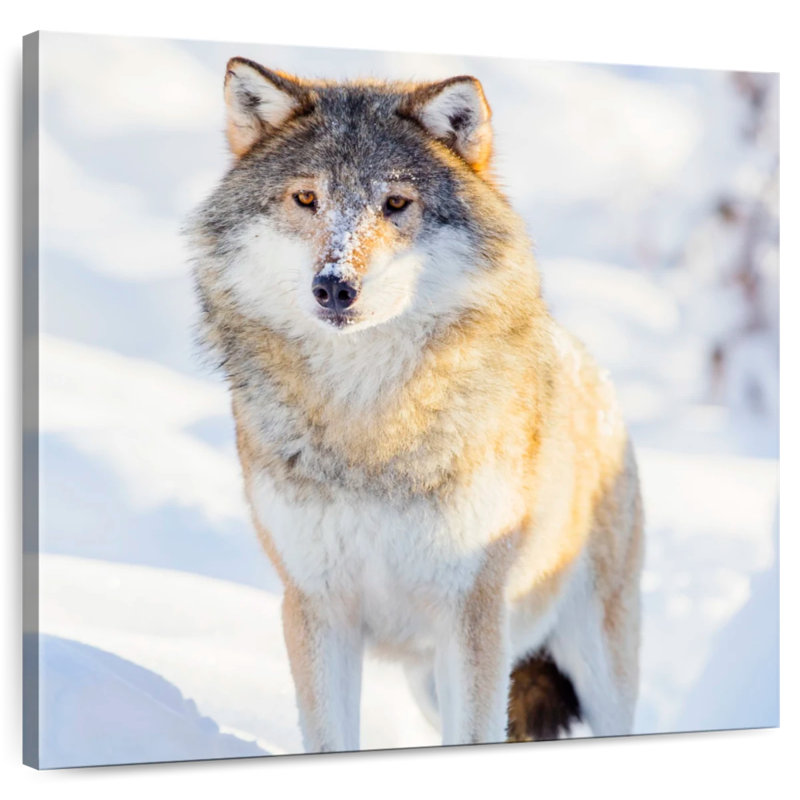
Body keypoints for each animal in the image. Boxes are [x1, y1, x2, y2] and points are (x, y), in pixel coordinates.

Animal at [189, 56, 644, 753]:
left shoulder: (470, 612)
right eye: (306, 199)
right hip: (430, 683)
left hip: (593, 667)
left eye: (396, 204)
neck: (367, 422)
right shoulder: (317, 608)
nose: (334, 286)